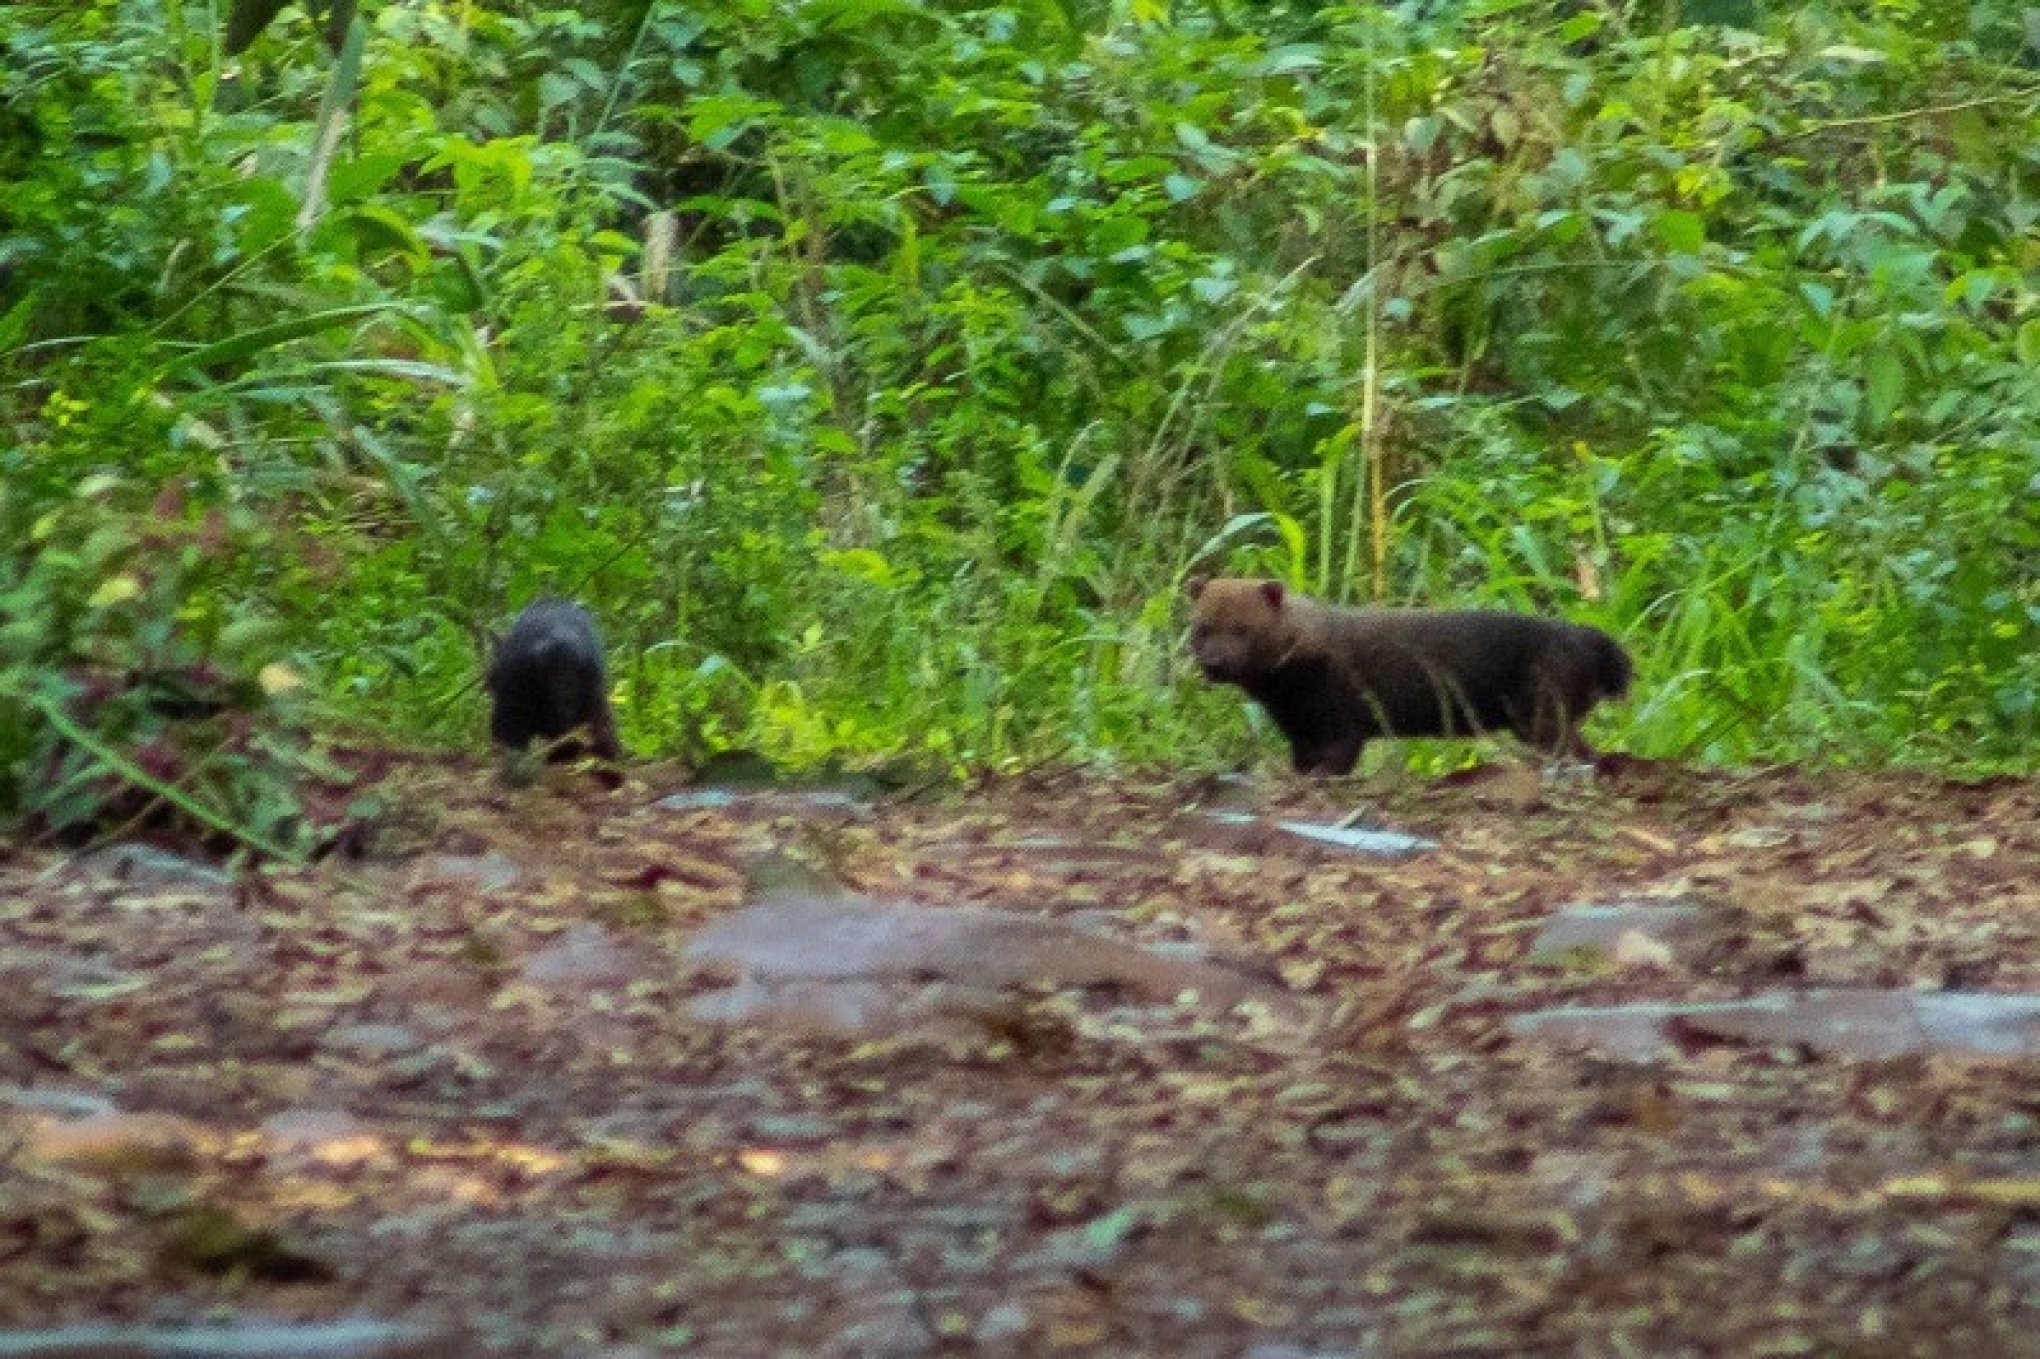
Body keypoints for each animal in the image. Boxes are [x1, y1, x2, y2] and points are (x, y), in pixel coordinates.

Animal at [1191, 575, 1632, 771]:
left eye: (1242, 629)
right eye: (1201, 628)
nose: (1215, 663)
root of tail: (1592, 640)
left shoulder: (1340, 715)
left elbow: (1336, 759)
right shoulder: (1300, 728)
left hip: (1542, 710)